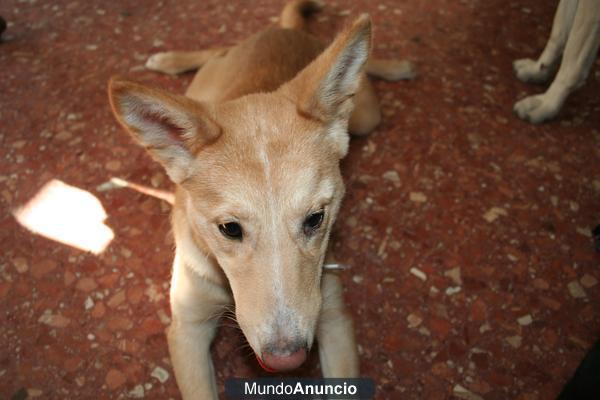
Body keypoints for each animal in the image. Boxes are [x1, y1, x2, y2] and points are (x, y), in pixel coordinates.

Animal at [108, 1, 410, 398]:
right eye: (229, 229)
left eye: (316, 218)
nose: (287, 359)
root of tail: (285, 30)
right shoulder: (187, 329)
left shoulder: (334, 319)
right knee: (215, 50)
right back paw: (169, 59)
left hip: (365, 116)